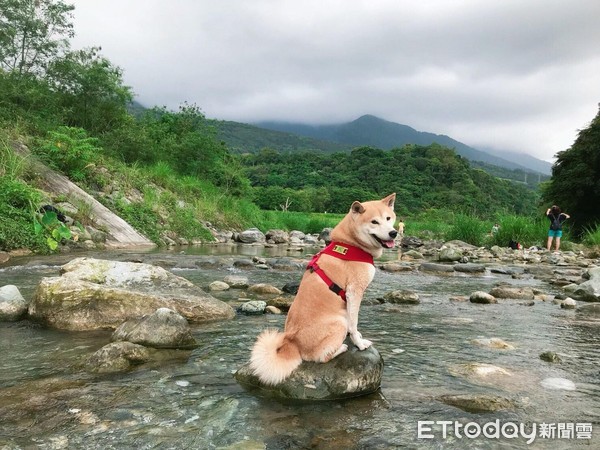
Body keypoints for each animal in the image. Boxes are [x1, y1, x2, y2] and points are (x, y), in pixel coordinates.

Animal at [250, 192, 398, 384]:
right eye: (374, 222)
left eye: (388, 218)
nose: (393, 233)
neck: (351, 243)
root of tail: (292, 341)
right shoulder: (354, 292)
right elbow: (354, 324)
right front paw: (359, 343)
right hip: (339, 322)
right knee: (320, 357)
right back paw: (341, 348)